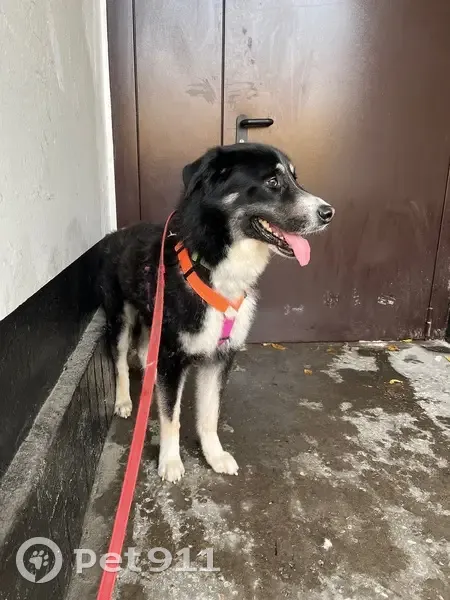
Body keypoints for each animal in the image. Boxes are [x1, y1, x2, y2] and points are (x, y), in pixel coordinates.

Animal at [98, 143, 334, 482]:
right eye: (272, 182)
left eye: (294, 178)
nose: (329, 213)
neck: (212, 267)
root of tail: (113, 234)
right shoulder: (173, 356)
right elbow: (171, 417)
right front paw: (170, 461)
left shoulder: (219, 357)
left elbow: (210, 415)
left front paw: (214, 455)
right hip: (120, 317)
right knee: (119, 362)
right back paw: (124, 401)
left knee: (143, 352)